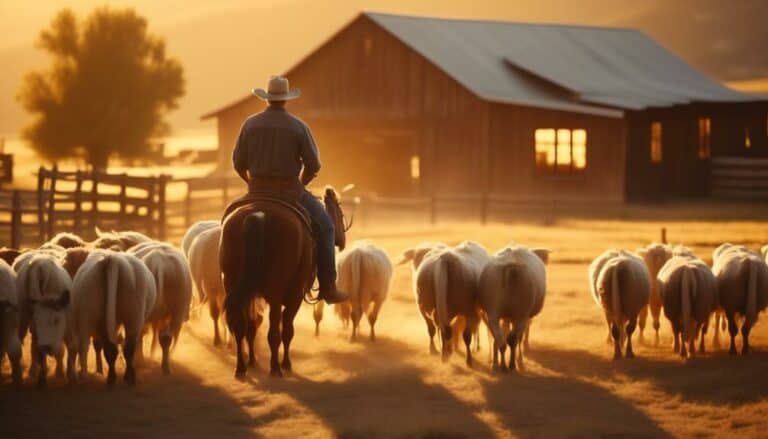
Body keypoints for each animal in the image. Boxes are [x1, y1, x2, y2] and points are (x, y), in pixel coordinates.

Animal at [219, 186, 352, 378]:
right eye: (339, 211)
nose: (342, 241)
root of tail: (257, 215)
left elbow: (252, 326)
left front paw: (253, 361)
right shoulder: (294, 296)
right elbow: (287, 329)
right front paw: (286, 364)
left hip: (234, 286)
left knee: (240, 326)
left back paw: (241, 368)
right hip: (276, 293)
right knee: (274, 331)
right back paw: (275, 368)